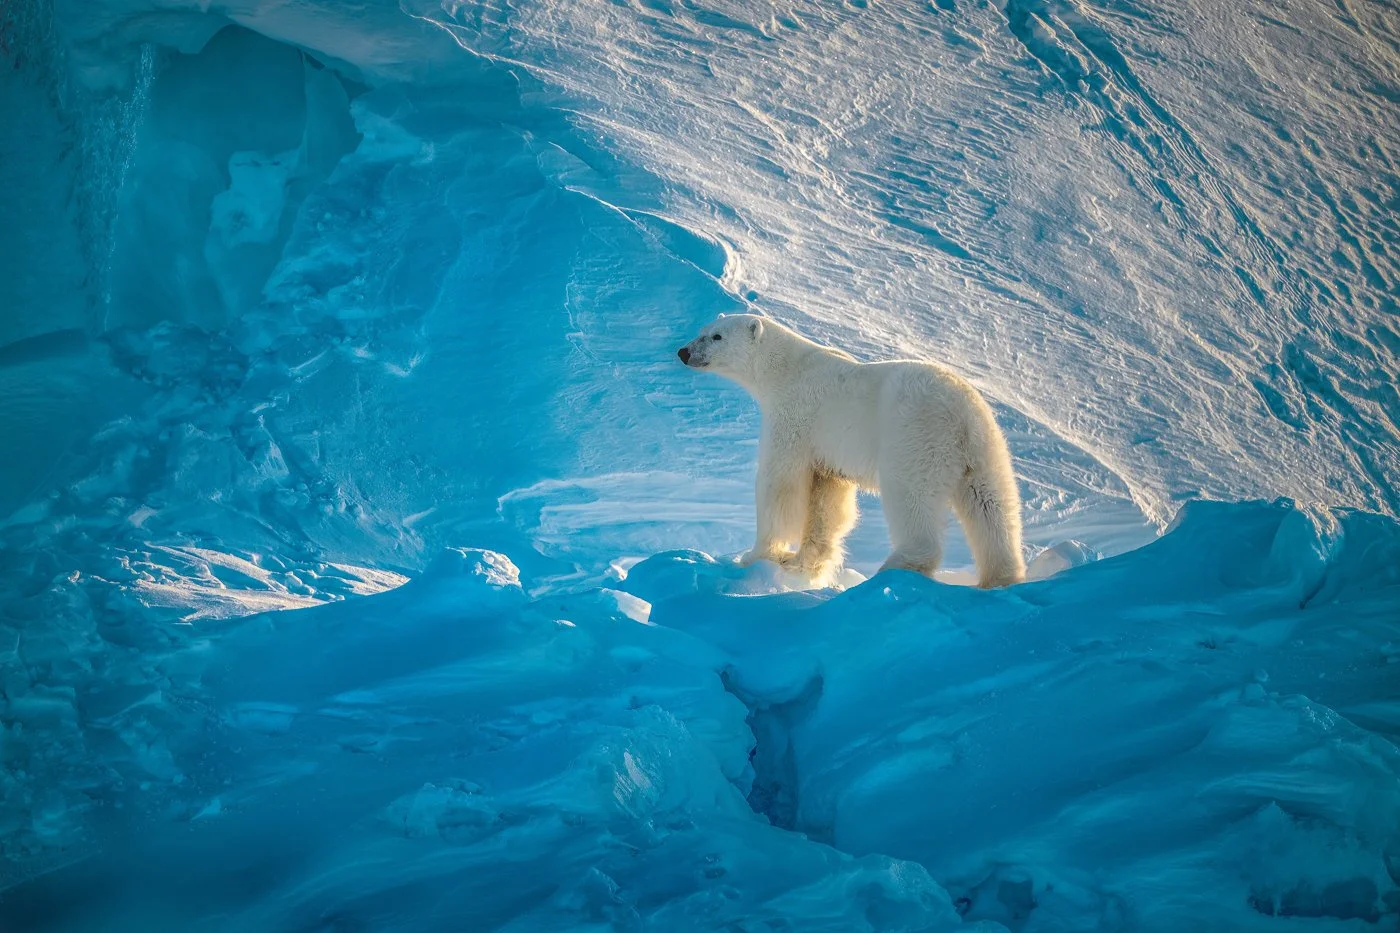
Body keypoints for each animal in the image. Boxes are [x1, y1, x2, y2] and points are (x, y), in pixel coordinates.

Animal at [677, 313, 1025, 588]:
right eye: (704, 328)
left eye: (717, 336)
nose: (683, 351)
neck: (786, 369)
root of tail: (960, 415)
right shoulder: (829, 452)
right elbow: (826, 501)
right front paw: (803, 563)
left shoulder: (794, 418)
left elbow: (780, 486)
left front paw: (757, 556)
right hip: (985, 448)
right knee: (991, 505)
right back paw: (1001, 576)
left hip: (913, 435)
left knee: (910, 496)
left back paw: (896, 566)